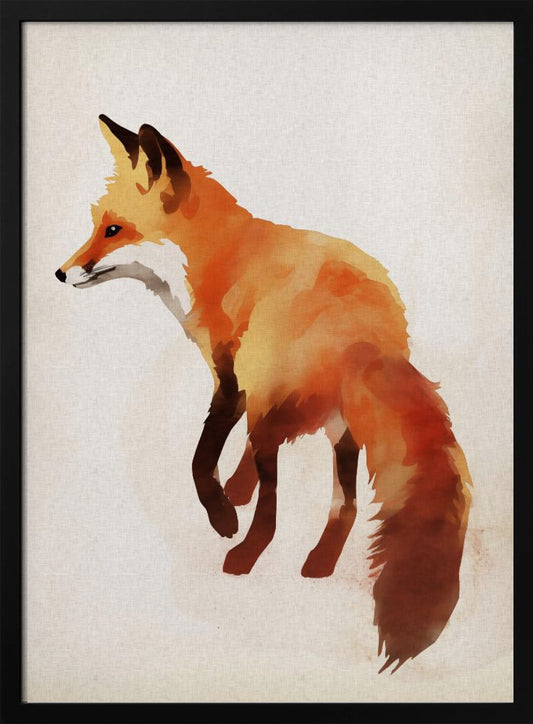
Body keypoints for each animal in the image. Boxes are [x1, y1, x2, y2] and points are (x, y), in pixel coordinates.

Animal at [56, 115, 472, 672]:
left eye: (114, 230)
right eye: (96, 225)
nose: (61, 272)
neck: (218, 258)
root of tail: (366, 337)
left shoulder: (231, 377)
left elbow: (201, 458)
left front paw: (223, 513)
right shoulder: (252, 391)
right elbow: (234, 458)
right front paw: (236, 490)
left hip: (285, 406)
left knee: (275, 512)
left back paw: (243, 555)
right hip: (340, 429)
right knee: (345, 506)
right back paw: (319, 562)